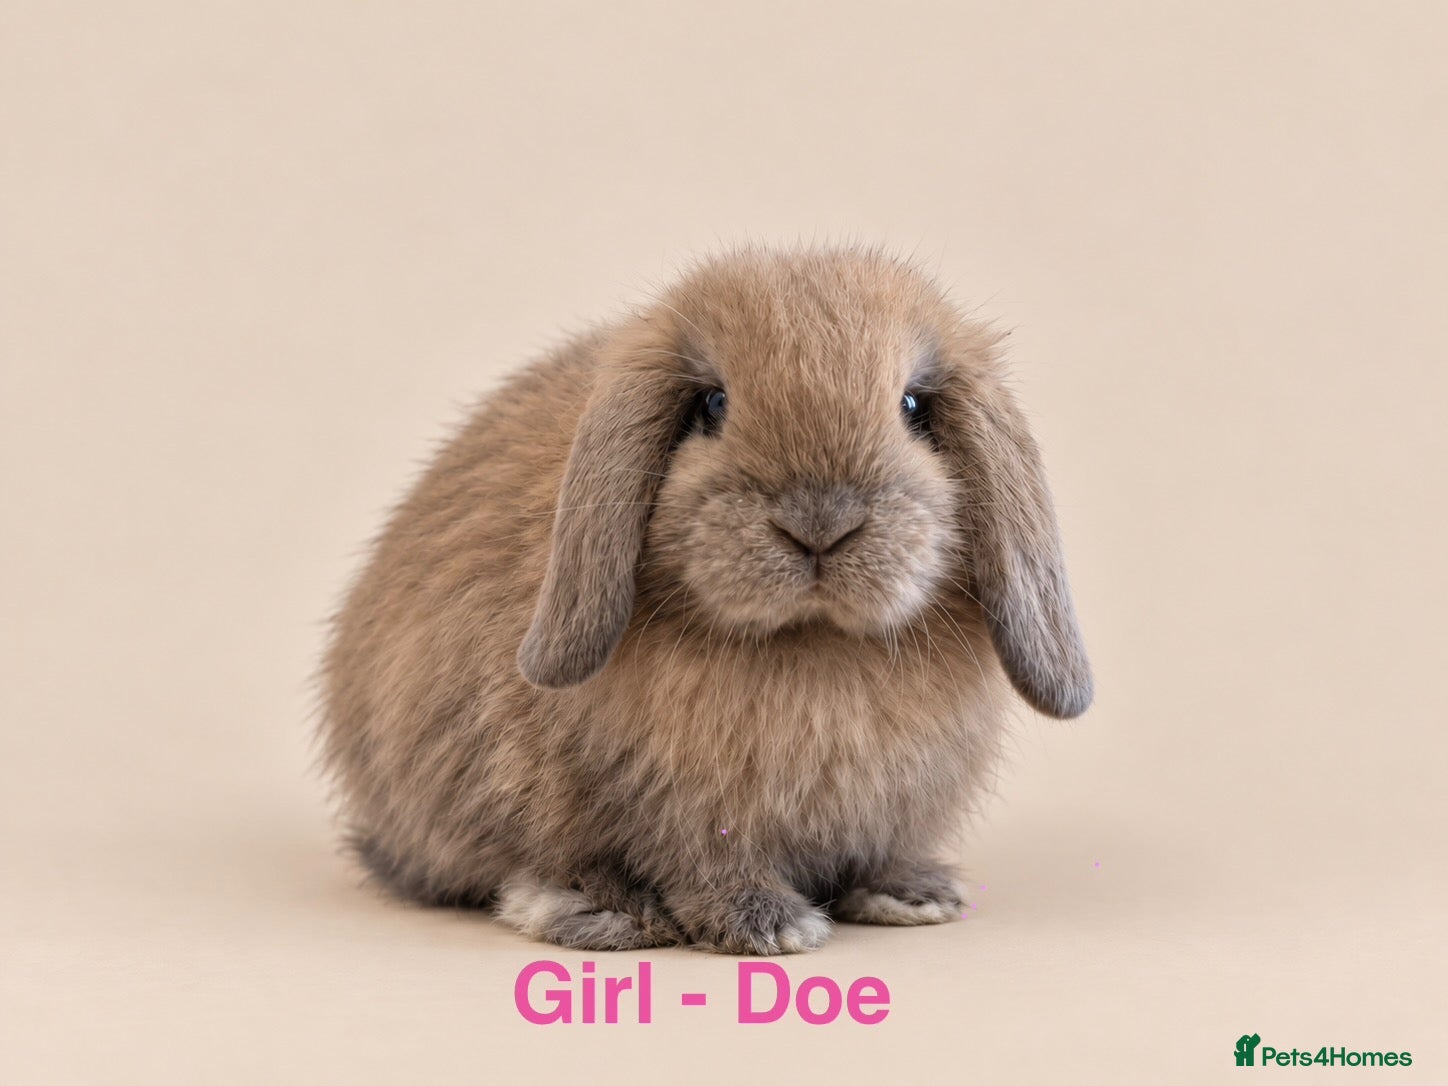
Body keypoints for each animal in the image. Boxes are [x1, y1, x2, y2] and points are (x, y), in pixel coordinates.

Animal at [319, 245, 1092, 955]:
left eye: (911, 406)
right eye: (713, 404)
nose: (820, 522)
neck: (809, 641)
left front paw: (912, 894)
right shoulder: (675, 812)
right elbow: (702, 864)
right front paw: (769, 925)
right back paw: (602, 914)